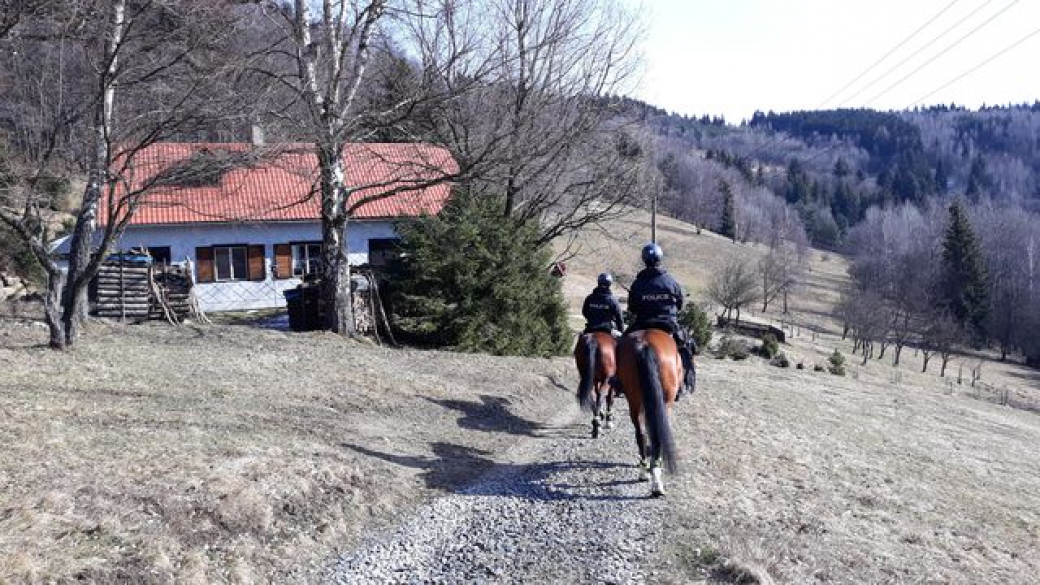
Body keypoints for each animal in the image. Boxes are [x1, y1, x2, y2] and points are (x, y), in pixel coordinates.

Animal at [615, 324, 682, 493]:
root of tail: (644, 344)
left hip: (634, 400)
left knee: (640, 433)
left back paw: (644, 471)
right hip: (664, 402)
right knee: (656, 435)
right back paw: (656, 481)